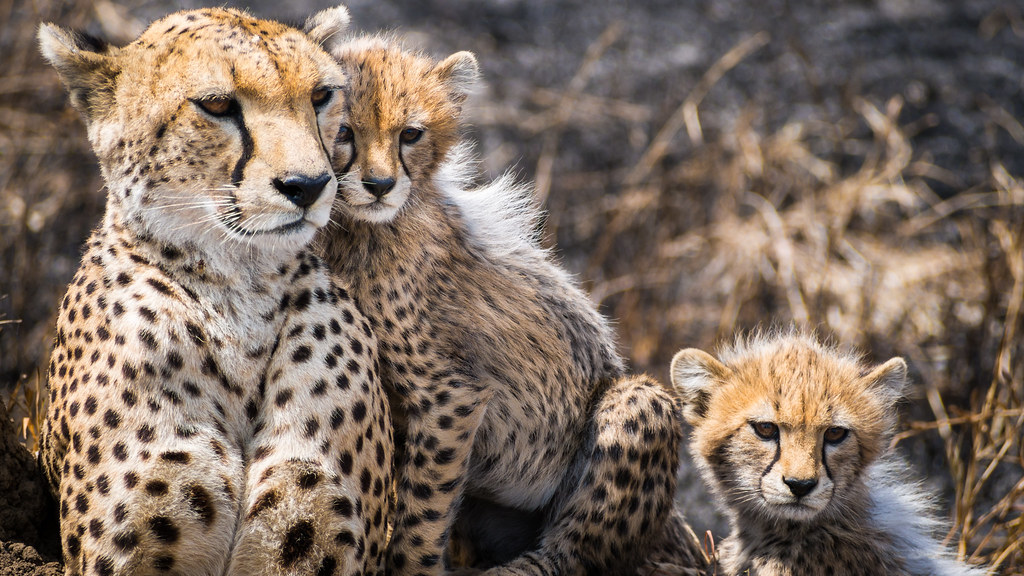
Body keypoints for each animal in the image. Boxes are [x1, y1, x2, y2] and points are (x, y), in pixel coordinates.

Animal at [316, 37, 708, 576]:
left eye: (410, 134)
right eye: (344, 131)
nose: (379, 185)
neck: (359, 231)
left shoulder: (453, 394)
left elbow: (423, 510)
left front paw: (411, 565)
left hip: (634, 401)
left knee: (569, 553)